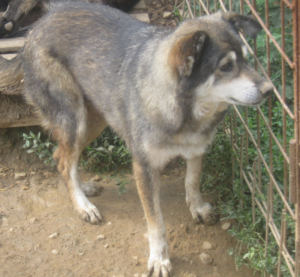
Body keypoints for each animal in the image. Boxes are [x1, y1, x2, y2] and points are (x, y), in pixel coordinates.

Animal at [0, 3, 274, 274]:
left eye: (246, 59)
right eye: (225, 67)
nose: (269, 90)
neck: (184, 110)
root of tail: (37, 26)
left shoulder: (197, 147)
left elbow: (192, 181)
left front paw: (197, 207)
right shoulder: (144, 168)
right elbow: (156, 223)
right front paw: (160, 258)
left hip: (96, 118)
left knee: (61, 157)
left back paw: (83, 187)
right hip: (74, 119)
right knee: (67, 161)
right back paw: (83, 205)